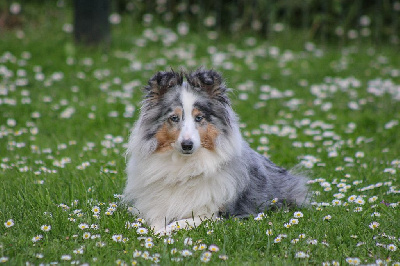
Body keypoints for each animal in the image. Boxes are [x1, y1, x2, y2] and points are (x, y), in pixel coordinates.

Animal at [122, 68, 310, 235]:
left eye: (199, 117)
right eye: (174, 118)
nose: (187, 145)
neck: (185, 167)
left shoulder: (212, 214)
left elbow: (181, 222)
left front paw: (162, 233)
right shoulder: (156, 206)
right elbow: (155, 219)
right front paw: (152, 231)